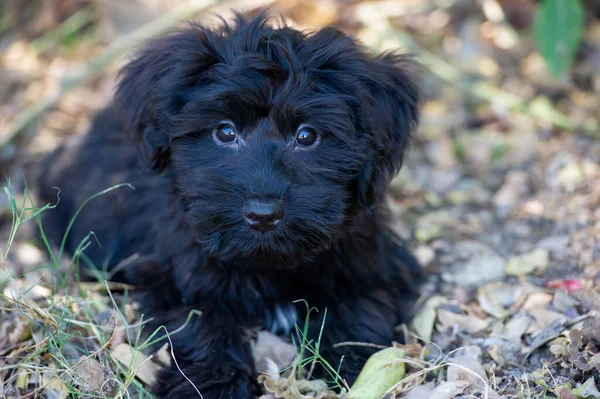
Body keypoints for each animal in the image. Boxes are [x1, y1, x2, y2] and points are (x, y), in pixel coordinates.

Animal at [30, 14, 420, 398]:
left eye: (307, 136)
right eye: (225, 132)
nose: (263, 215)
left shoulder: (371, 261)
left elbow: (362, 308)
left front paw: (354, 366)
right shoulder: (173, 274)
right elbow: (200, 326)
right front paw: (214, 384)